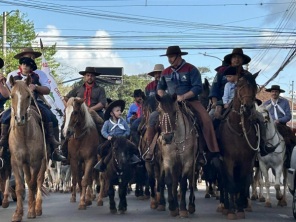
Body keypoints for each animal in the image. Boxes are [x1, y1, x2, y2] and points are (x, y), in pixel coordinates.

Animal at [8, 75, 46, 221]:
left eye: (28, 96)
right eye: (12, 95)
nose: (20, 119)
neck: (24, 134)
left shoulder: (35, 162)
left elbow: (32, 183)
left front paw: (31, 211)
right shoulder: (16, 161)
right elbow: (19, 187)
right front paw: (18, 213)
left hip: (43, 161)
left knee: (38, 181)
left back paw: (37, 208)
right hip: (25, 164)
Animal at [219, 72, 258, 219]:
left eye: (254, 87)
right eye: (239, 85)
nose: (247, 107)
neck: (239, 130)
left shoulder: (246, 161)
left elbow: (242, 183)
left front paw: (240, 208)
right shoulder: (228, 160)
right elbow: (230, 183)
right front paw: (231, 211)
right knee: (224, 182)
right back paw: (226, 206)